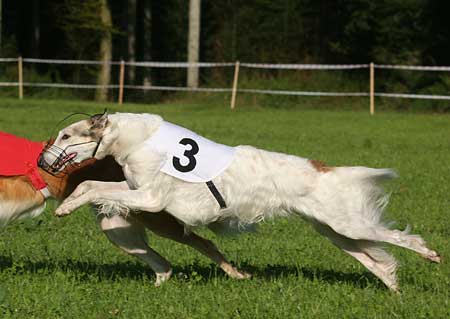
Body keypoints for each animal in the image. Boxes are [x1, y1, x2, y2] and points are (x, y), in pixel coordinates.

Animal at [42, 113, 442, 292]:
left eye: (66, 135)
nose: (43, 161)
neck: (136, 138)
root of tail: (325, 168)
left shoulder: (151, 198)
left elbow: (95, 188)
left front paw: (65, 206)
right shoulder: (133, 187)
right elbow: (90, 184)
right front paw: (66, 204)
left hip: (347, 224)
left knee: (401, 238)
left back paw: (429, 254)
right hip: (336, 232)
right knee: (375, 260)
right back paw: (393, 286)